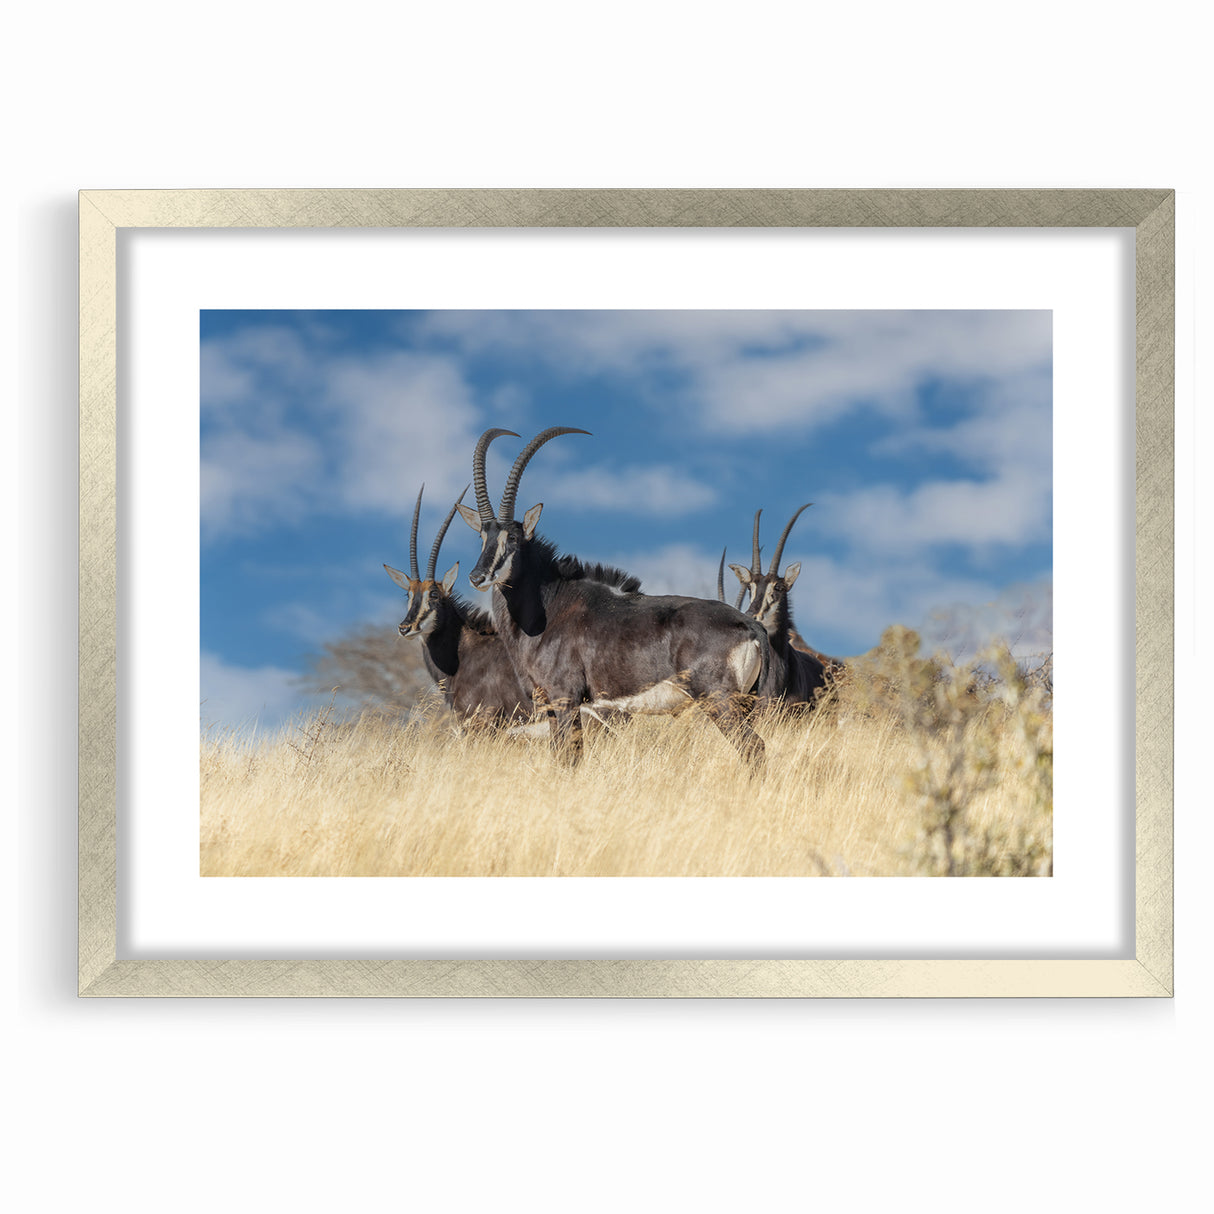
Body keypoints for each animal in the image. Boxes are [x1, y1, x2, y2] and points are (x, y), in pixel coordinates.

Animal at [457, 427, 771, 768]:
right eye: (482, 536)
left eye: (513, 537)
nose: (477, 576)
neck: (549, 607)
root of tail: (751, 626)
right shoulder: (550, 705)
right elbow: (558, 756)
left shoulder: (566, 698)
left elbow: (571, 757)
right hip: (744, 703)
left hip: (719, 699)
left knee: (753, 748)